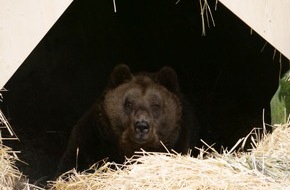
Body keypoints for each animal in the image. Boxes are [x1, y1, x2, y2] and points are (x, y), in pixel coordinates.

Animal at [56, 63, 199, 175]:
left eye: (155, 105)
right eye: (129, 103)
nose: (142, 126)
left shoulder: (179, 140)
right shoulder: (91, 137)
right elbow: (72, 164)